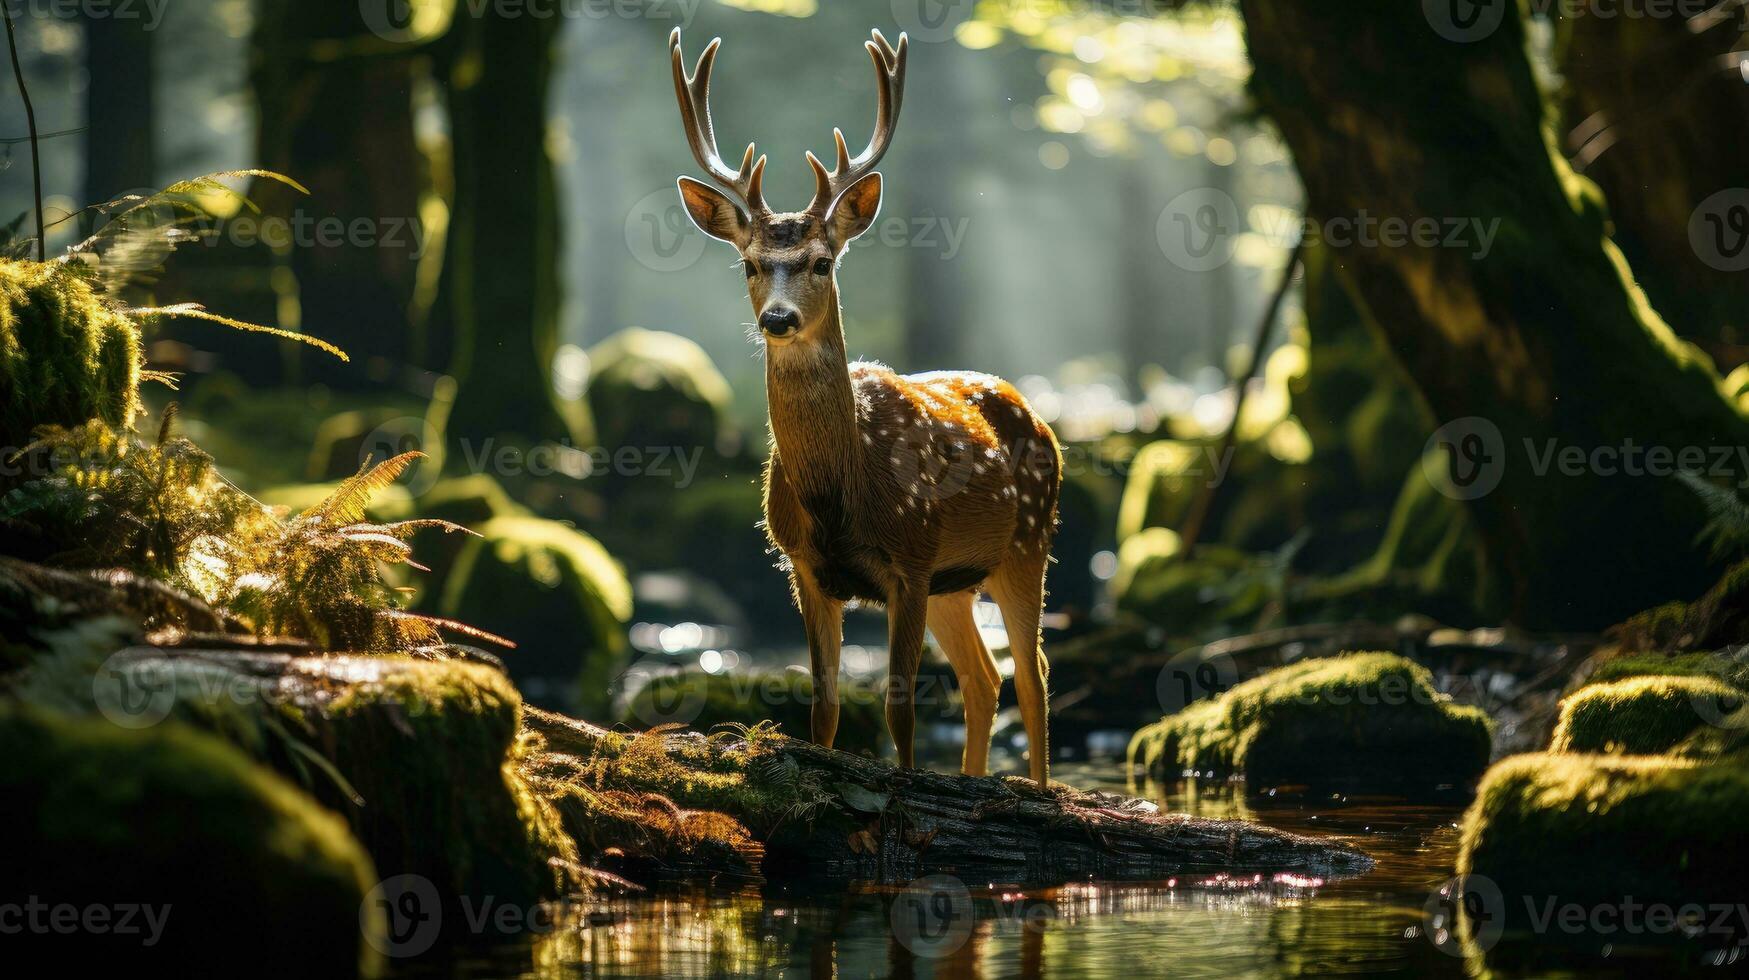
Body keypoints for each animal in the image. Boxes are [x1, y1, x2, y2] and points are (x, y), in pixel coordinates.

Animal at [661, 26, 1056, 784]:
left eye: (821, 262)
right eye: (750, 263)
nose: (778, 319)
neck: (841, 491)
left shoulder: (911, 556)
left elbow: (900, 710)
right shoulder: (806, 568)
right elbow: (823, 708)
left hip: (1027, 544)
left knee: (1033, 676)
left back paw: (1039, 790)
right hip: (957, 582)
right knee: (984, 679)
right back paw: (974, 780)